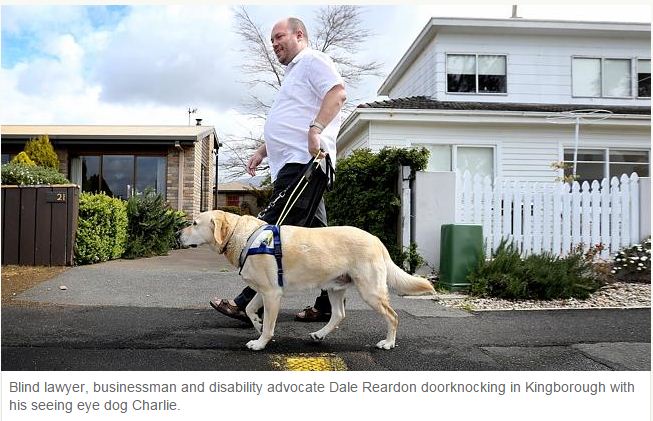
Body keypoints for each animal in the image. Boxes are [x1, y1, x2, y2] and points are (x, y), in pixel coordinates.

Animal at [178, 210, 432, 352]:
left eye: (194, 223)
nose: (177, 235)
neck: (245, 238)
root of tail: (377, 240)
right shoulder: (264, 290)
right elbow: (249, 309)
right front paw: (257, 324)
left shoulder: (272, 294)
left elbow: (269, 326)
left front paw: (260, 342)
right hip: (335, 286)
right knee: (339, 314)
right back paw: (319, 334)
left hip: (370, 291)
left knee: (393, 316)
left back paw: (388, 343)